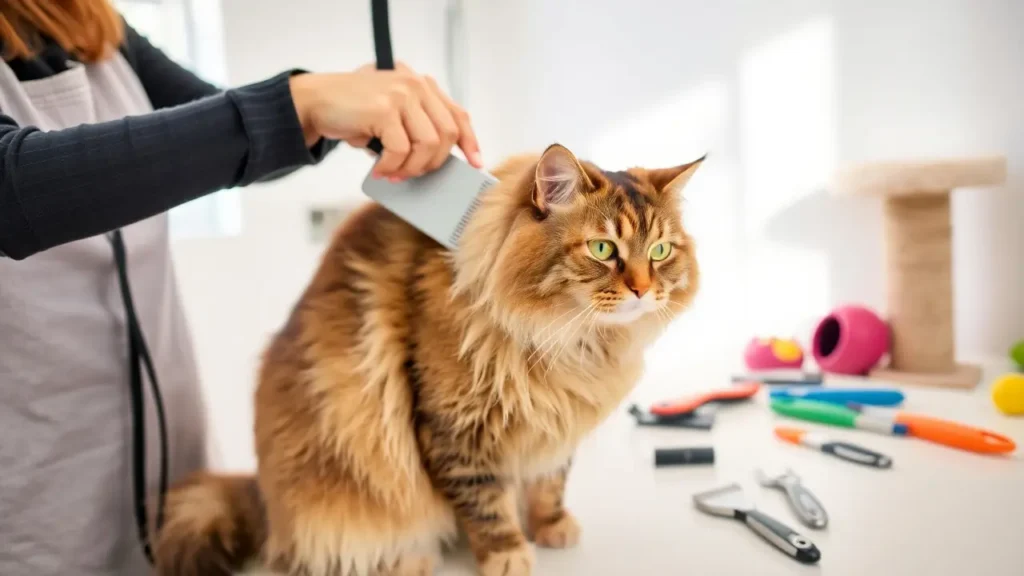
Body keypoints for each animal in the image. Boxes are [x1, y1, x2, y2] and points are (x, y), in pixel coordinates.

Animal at [157, 143, 704, 573]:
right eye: (602, 248)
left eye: (659, 251)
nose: (643, 289)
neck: (576, 346)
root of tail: (263, 498)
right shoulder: (456, 429)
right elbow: (485, 504)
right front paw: (507, 553)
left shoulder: (557, 421)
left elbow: (550, 483)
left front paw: (552, 527)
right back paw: (409, 560)